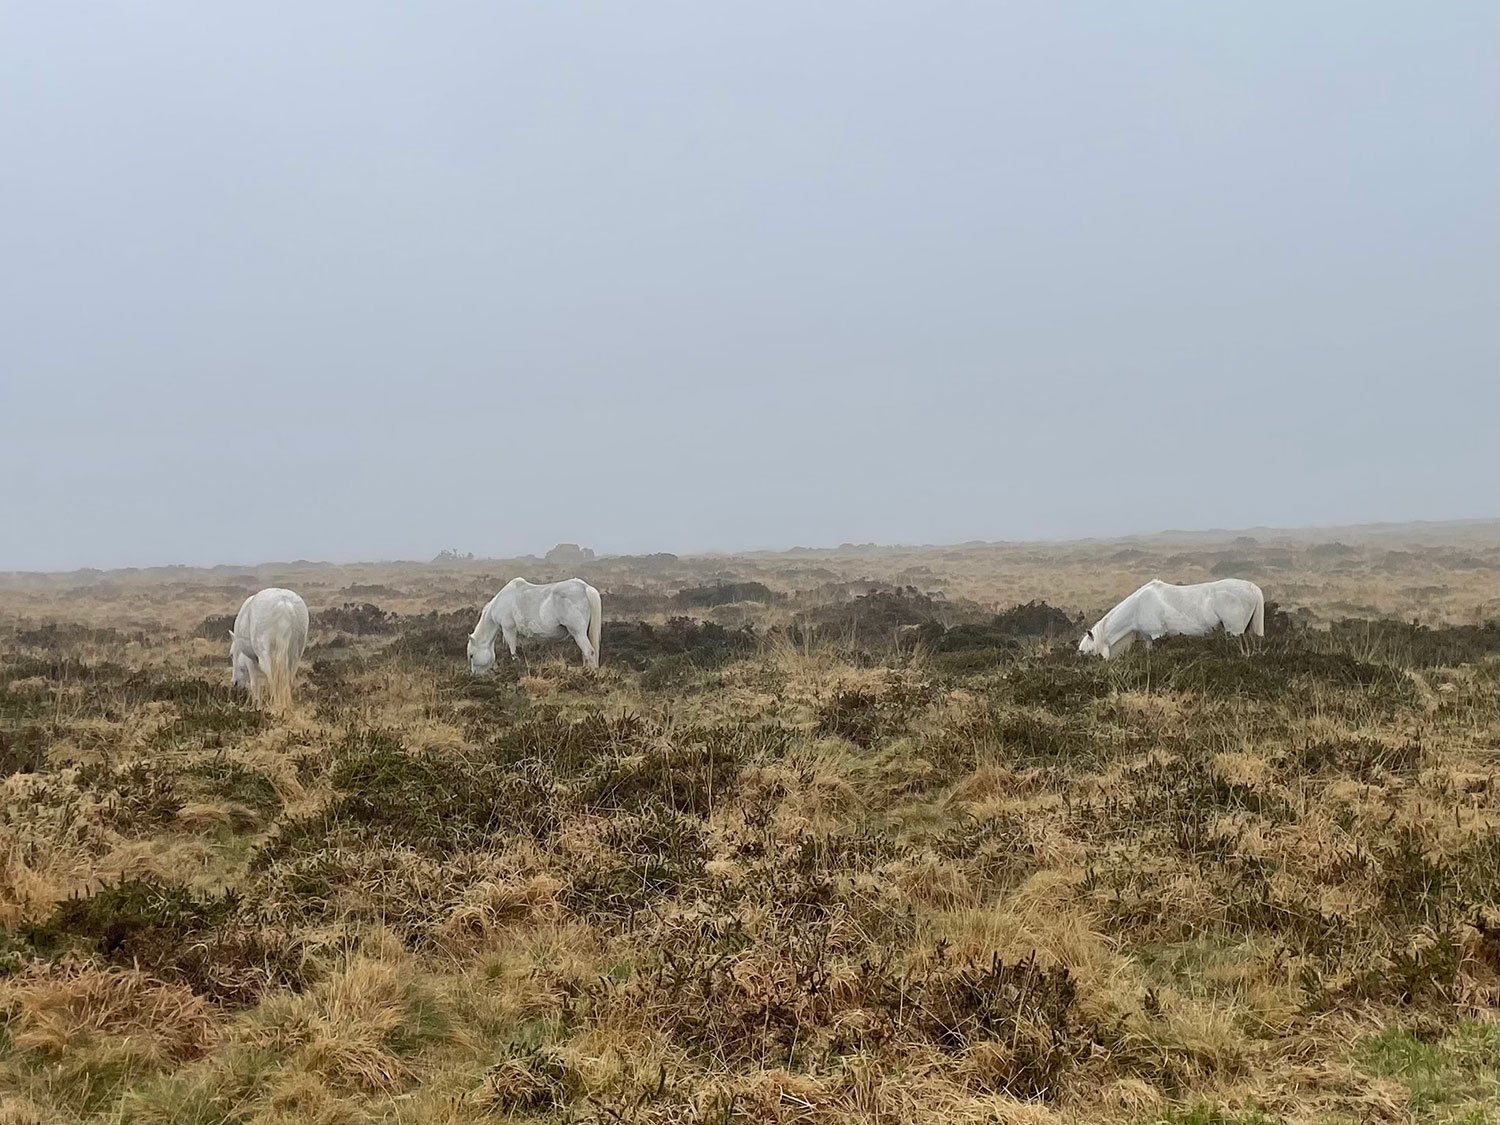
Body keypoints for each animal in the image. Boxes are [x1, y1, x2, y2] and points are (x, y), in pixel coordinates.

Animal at [467, 577, 602, 672]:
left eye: (472, 655)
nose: (474, 674)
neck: (502, 600)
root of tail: (585, 587)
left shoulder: (508, 629)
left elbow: (513, 650)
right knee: (586, 654)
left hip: (578, 633)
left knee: (589, 652)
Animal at [1077, 578, 1264, 660]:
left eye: (1087, 652)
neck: (1138, 606)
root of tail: (1253, 588)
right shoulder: (1148, 637)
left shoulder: (1157, 633)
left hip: (1235, 629)